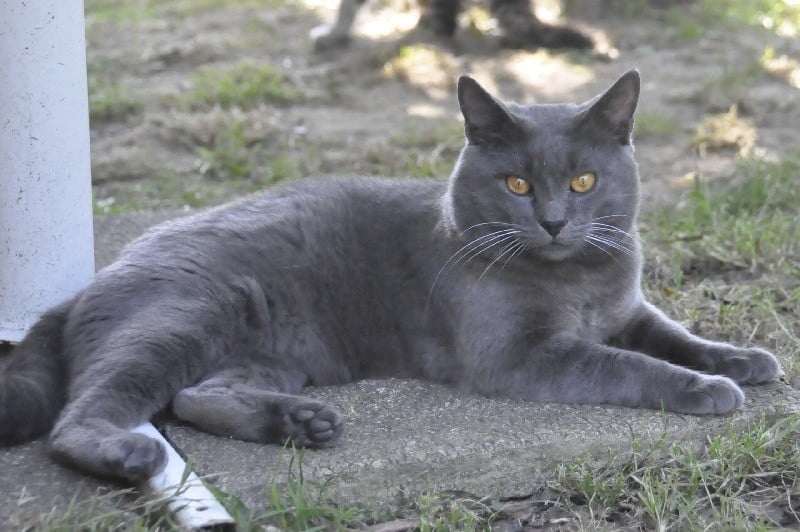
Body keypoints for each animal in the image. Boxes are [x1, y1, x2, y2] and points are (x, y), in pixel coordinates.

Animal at [0, 70, 780, 482]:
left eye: (585, 180)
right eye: (518, 183)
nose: (557, 220)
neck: (576, 281)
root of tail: (81, 291)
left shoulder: (628, 307)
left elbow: (673, 335)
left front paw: (742, 359)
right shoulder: (520, 355)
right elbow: (626, 364)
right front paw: (709, 390)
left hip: (267, 350)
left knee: (198, 394)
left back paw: (303, 423)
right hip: (184, 314)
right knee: (80, 417)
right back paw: (130, 453)